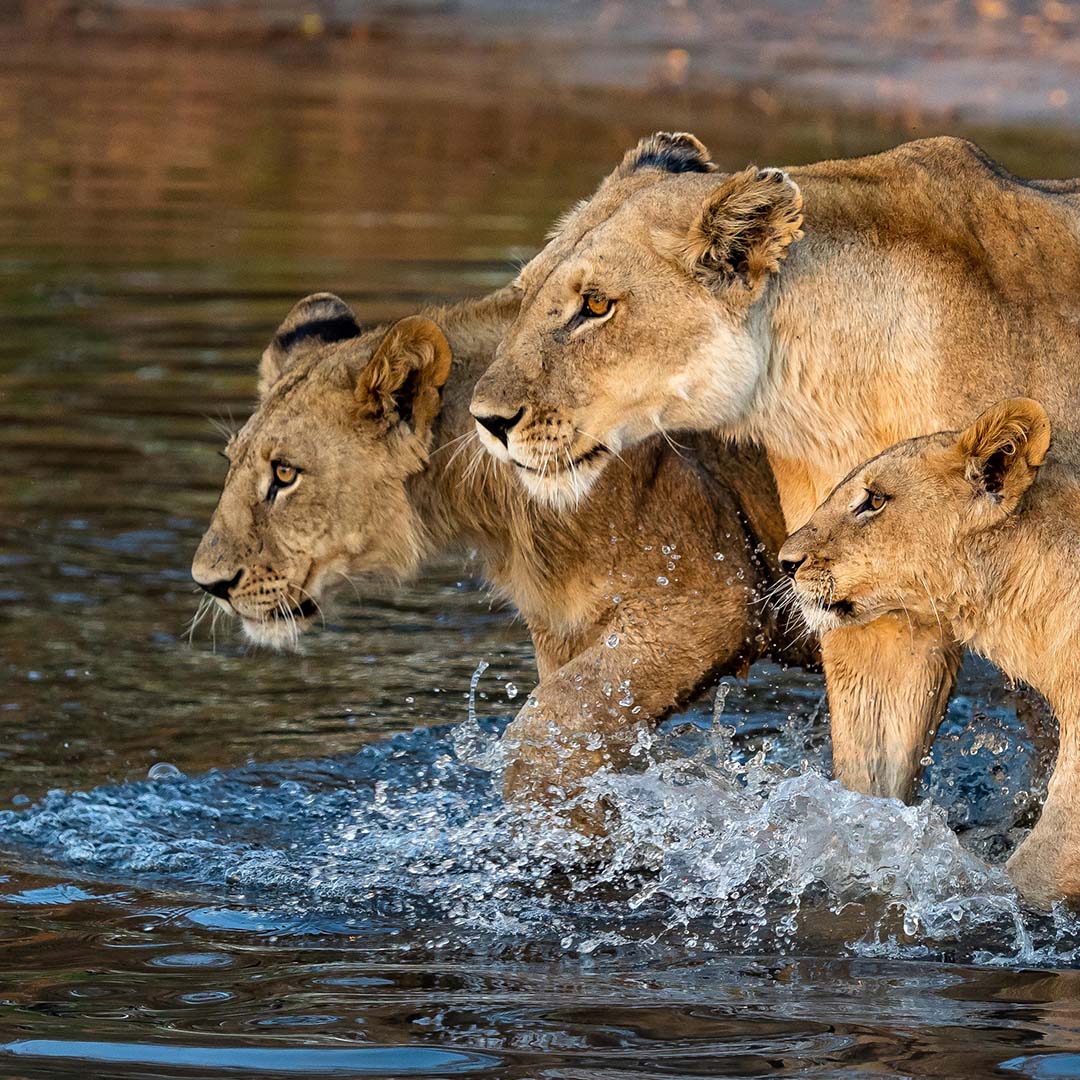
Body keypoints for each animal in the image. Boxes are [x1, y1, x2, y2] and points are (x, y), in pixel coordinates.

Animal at [190, 288, 816, 827]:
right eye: (231, 462)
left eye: (285, 474)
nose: (208, 583)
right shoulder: (567, 633)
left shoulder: (708, 600)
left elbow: (544, 728)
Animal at [468, 132, 1080, 805]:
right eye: (525, 295)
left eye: (596, 305)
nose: (486, 420)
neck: (830, 387)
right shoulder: (870, 613)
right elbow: (871, 784)